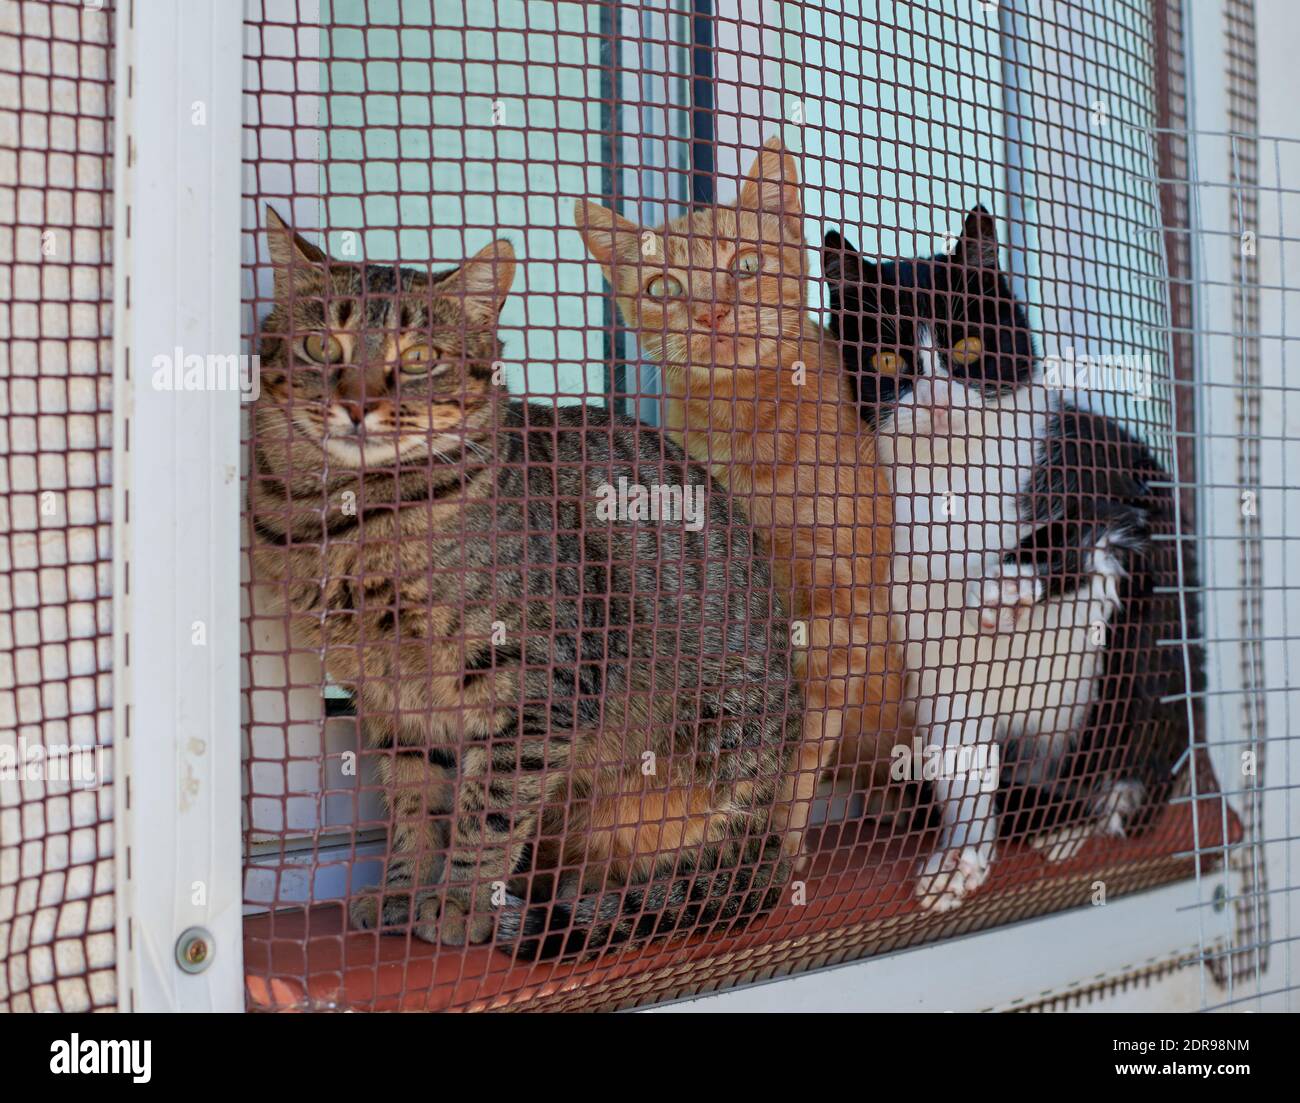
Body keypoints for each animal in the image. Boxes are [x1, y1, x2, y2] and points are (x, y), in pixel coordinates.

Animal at [250, 209, 800, 957]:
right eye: (317, 345)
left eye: (417, 357)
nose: (357, 404)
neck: (349, 522)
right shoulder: (393, 704)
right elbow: (413, 803)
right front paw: (401, 891)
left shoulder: (538, 682)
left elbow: (489, 809)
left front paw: (458, 900)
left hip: (730, 745)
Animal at [577, 139, 904, 863]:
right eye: (665, 287)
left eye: (746, 266)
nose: (712, 313)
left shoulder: (838, 614)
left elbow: (800, 750)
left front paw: (781, 839)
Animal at [821, 206, 1196, 915]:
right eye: (887, 357)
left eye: (968, 348)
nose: (937, 400)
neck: (954, 489)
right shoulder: (931, 642)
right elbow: (959, 761)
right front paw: (959, 856)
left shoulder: (1122, 501)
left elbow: (1083, 537)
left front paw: (1007, 582)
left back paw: (1086, 812)